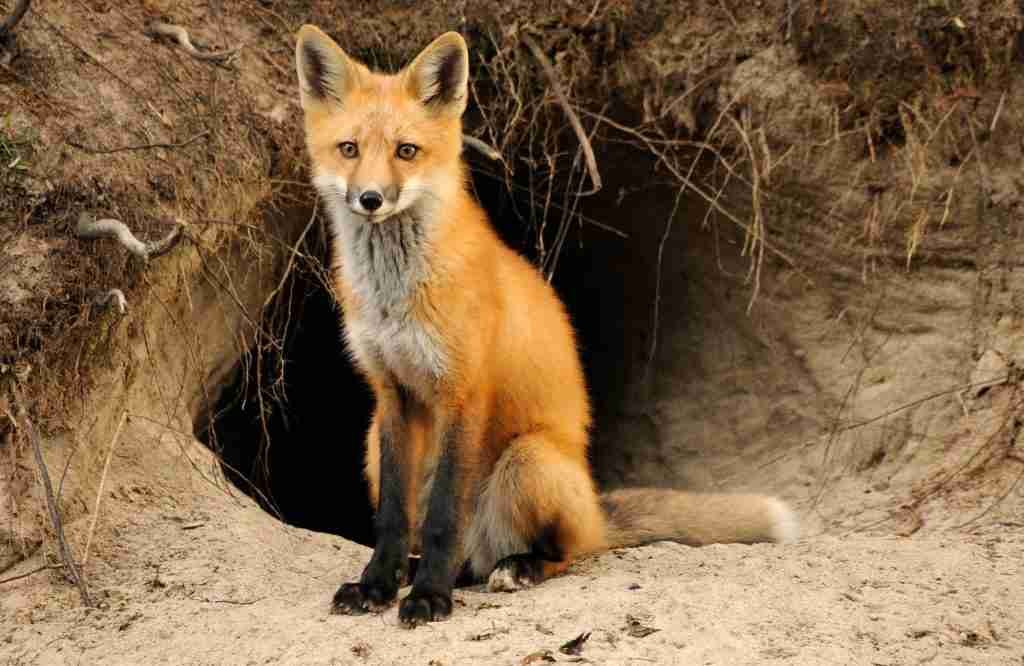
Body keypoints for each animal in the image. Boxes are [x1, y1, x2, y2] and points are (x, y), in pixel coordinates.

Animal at [296, 27, 798, 627]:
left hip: (528, 459)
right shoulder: (392, 394)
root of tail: (594, 510)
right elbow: (394, 518)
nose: (370, 199)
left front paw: (428, 597)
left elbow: (442, 517)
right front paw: (377, 584)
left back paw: (516, 568)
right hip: (373, 440)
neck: (396, 298)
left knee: (565, 552)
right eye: (348, 149)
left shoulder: (464, 391)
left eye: (406, 151)